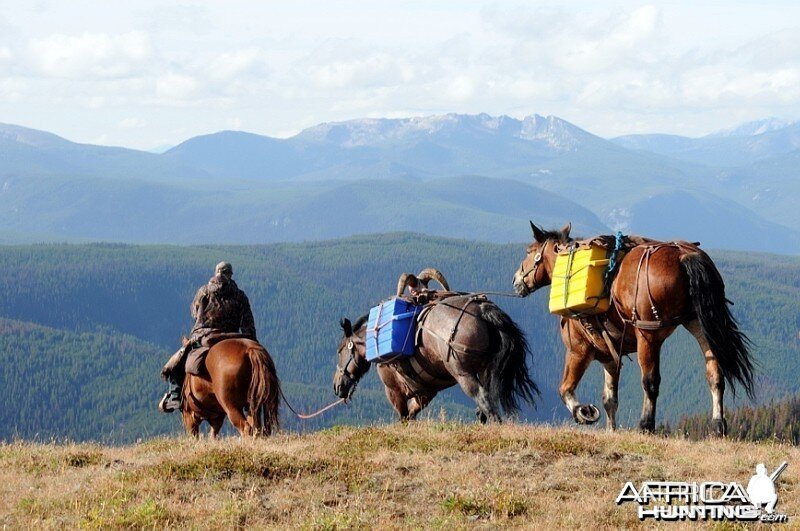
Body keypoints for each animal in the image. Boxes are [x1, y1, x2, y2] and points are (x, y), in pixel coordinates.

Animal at [512, 222, 756, 434]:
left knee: (650, 381)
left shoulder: (579, 350)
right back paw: (717, 425)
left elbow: (565, 389)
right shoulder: (609, 356)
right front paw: (611, 430)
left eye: (528, 251)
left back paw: (646, 424)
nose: (516, 280)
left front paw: (583, 412)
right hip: (698, 324)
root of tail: (684, 254)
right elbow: (610, 399)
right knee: (715, 375)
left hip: (648, 335)